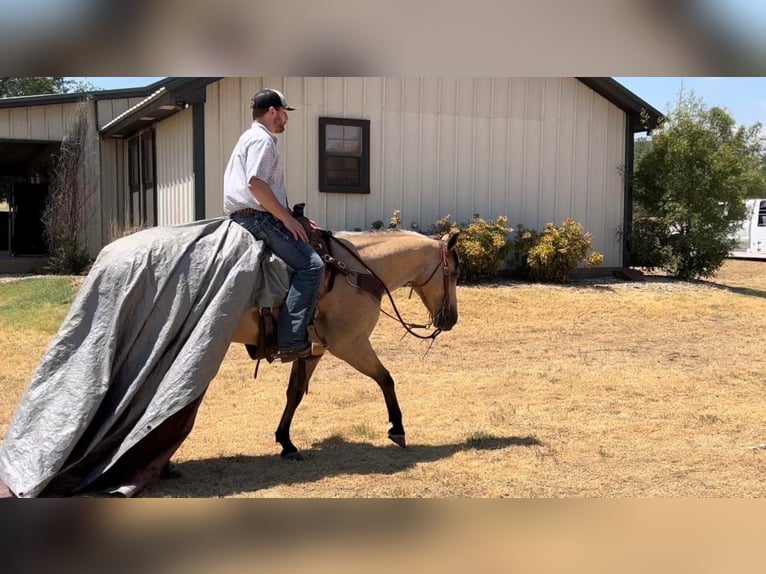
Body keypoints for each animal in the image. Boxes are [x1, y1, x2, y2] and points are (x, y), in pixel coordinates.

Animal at [231, 227, 462, 462]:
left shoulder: (312, 350)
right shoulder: (350, 344)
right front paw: (397, 428)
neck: (358, 272)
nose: (452, 319)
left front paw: (286, 442)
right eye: (453, 273)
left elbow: (295, 391)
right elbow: (385, 379)